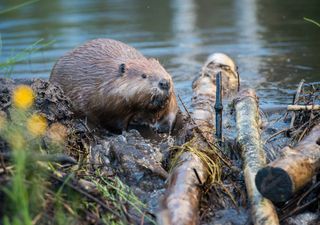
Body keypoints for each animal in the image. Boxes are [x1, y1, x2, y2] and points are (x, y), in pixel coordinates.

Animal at [51, 38, 179, 132]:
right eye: (144, 75)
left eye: (163, 70)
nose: (165, 83)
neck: (107, 81)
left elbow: (171, 113)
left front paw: (162, 127)